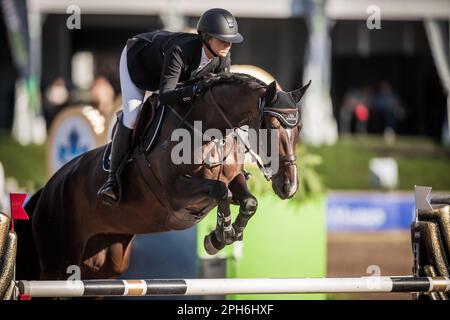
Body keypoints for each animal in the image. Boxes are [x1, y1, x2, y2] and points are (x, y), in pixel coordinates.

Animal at [14, 72, 310, 280]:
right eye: (271, 126)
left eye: (299, 128)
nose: (289, 187)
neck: (210, 129)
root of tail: (48, 188)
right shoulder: (175, 193)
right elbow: (220, 191)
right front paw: (221, 234)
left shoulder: (233, 177)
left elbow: (248, 201)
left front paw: (224, 235)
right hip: (58, 261)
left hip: (105, 264)